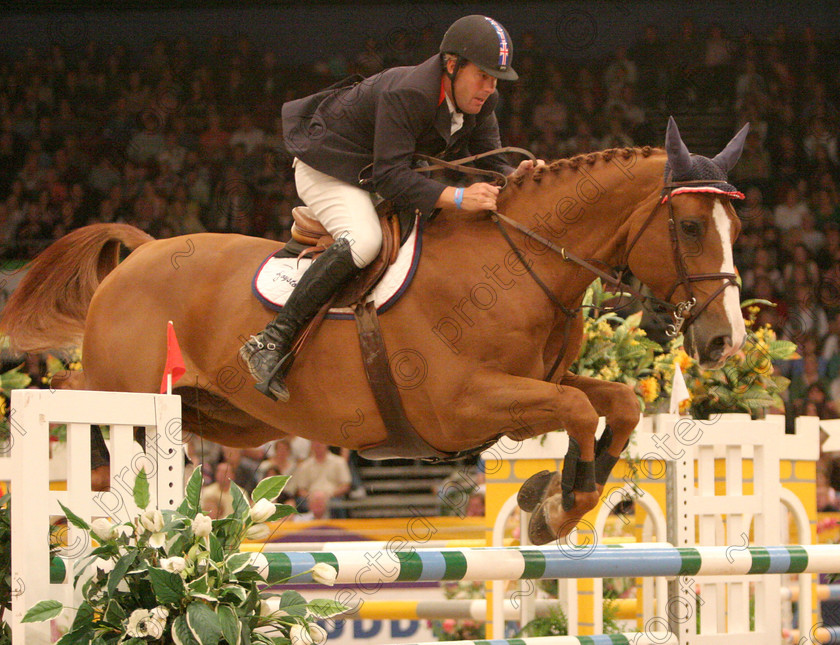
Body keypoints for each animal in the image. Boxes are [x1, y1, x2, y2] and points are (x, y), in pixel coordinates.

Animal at [1, 119, 748, 544]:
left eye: (735, 227)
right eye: (688, 227)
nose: (724, 341)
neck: (520, 259)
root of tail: (141, 253)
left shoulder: (536, 381)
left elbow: (614, 403)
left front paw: (552, 499)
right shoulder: (460, 404)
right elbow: (575, 409)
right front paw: (557, 507)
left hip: (222, 417)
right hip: (130, 392)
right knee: (80, 399)